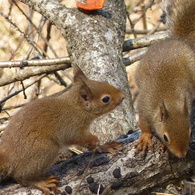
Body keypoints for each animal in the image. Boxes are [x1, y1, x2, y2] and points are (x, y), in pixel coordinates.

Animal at [134, 0, 195, 158]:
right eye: (166, 137)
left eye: (190, 133)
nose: (182, 155)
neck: (170, 100)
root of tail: (178, 40)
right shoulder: (145, 106)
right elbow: (144, 124)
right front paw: (145, 138)